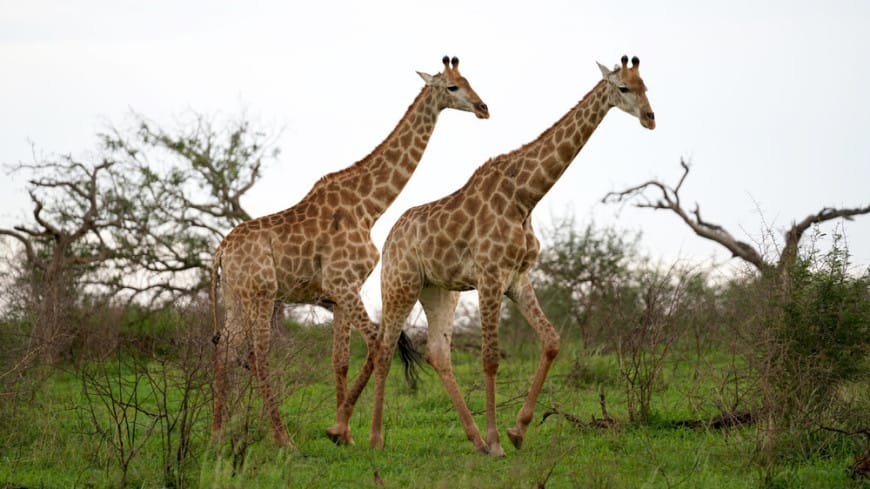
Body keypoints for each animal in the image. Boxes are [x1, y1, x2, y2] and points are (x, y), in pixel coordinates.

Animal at [210, 55, 489, 447]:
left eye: (469, 80)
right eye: (452, 87)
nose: (483, 108)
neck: (368, 207)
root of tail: (220, 250)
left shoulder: (341, 293)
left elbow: (340, 360)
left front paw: (346, 435)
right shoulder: (342, 284)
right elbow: (375, 344)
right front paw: (344, 430)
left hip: (235, 295)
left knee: (225, 350)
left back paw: (217, 433)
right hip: (261, 294)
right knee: (258, 354)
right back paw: (282, 438)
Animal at [365, 55, 655, 455]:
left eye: (646, 86)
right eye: (623, 88)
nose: (650, 117)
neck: (525, 197)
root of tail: (390, 236)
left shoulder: (517, 278)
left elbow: (552, 341)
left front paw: (517, 431)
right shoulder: (490, 277)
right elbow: (489, 359)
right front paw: (497, 441)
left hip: (439, 291)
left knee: (437, 353)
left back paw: (472, 438)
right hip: (400, 284)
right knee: (384, 348)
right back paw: (377, 439)